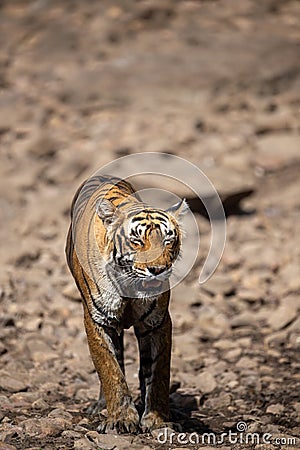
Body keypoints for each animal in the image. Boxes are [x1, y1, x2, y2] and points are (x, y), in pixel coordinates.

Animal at [65, 175, 188, 432]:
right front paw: (121, 419)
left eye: (168, 239)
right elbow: (110, 369)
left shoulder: (157, 322)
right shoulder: (98, 320)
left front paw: (157, 420)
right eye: (137, 240)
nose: (158, 270)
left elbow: (158, 372)